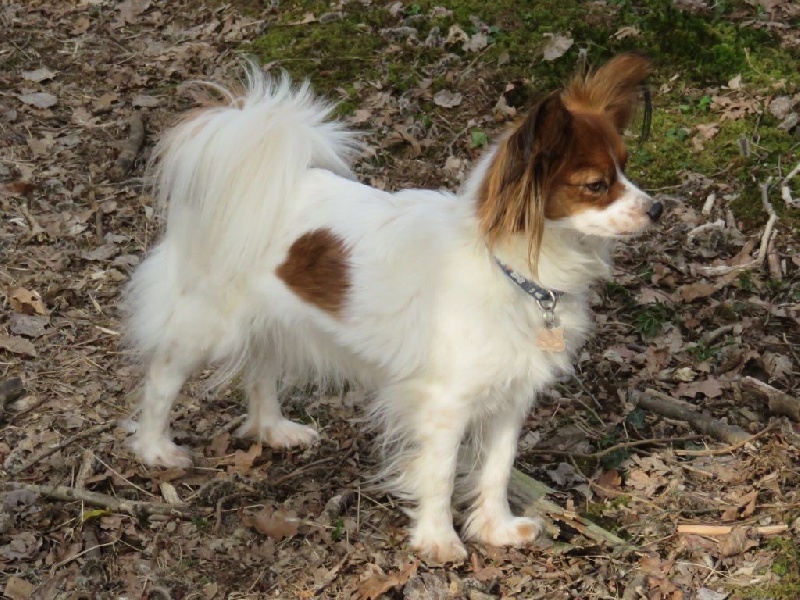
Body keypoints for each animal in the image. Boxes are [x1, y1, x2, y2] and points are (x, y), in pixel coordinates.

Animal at [126, 52, 664, 564]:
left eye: (627, 167)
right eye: (596, 185)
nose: (657, 209)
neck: (509, 269)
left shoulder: (512, 394)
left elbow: (497, 467)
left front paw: (496, 528)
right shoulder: (445, 402)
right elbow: (440, 473)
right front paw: (438, 540)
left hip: (273, 320)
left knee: (261, 370)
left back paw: (272, 429)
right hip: (206, 322)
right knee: (162, 376)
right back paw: (155, 450)